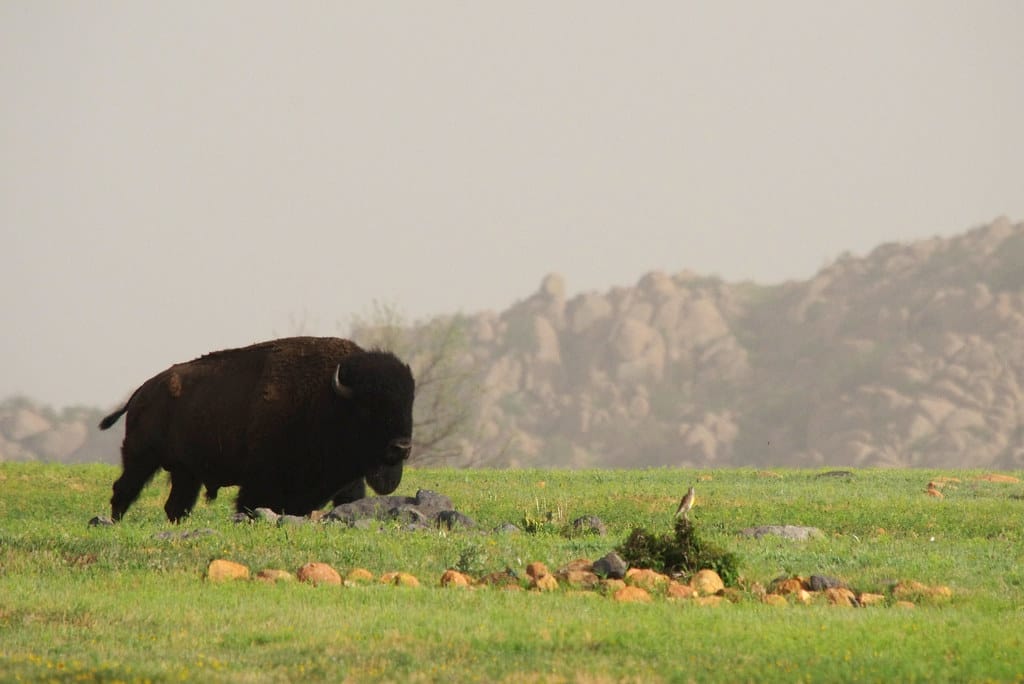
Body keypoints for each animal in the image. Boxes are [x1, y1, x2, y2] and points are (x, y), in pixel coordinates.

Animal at [97, 337, 413, 524]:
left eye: (408, 402)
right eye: (369, 407)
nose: (402, 447)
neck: (326, 397)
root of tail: (141, 392)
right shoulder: (259, 480)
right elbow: (248, 504)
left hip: (186, 474)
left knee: (175, 505)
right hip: (141, 459)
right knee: (124, 490)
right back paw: (115, 522)